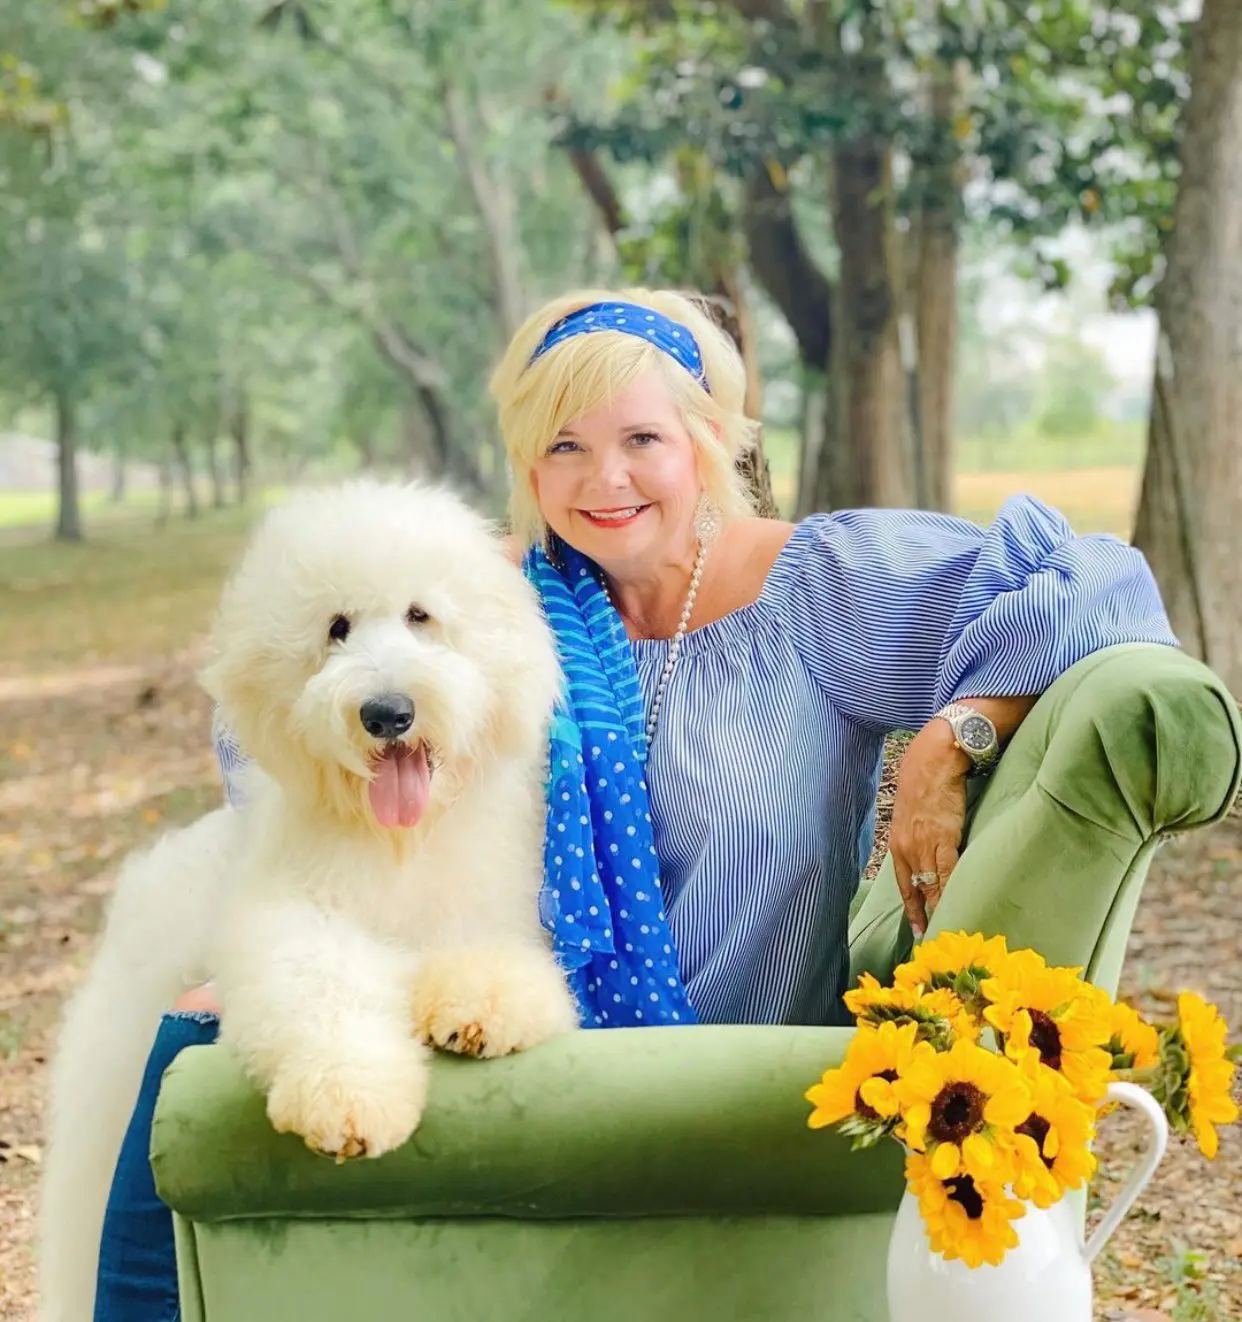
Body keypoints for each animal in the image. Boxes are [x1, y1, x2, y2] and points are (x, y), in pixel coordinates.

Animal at [38, 481, 579, 1322]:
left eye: (422, 615)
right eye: (336, 628)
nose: (387, 712)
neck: (398, 843)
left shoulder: (495, 912)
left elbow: (490, 962)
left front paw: (474, 1010)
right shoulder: (294, 921)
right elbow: (321, 988)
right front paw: (350, 1098)